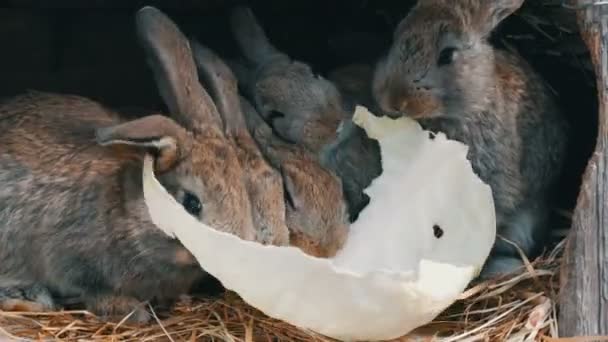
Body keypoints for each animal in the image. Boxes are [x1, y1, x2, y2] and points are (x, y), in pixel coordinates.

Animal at [0, 7, 256, 324]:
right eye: (191, 203)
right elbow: (92, 290)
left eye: (244, 197)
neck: (130, 207)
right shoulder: (70, 259)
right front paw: (132, 311)